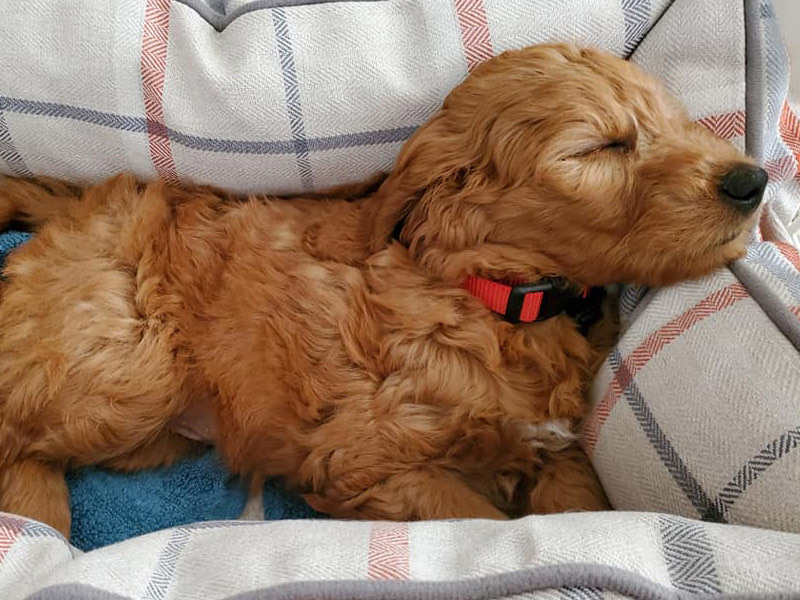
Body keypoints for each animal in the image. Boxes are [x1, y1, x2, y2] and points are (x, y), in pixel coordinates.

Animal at [0, 44, 764, 536]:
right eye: (599, 147)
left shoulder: (557, 446)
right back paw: (39, 522)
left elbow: (581, 506)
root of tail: (76, 206)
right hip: (130, 369)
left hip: (154, 430)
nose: (752, 180)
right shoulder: (366, 459)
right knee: (16, 438)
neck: (494, 297)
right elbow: (480, 523)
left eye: (676, 123)